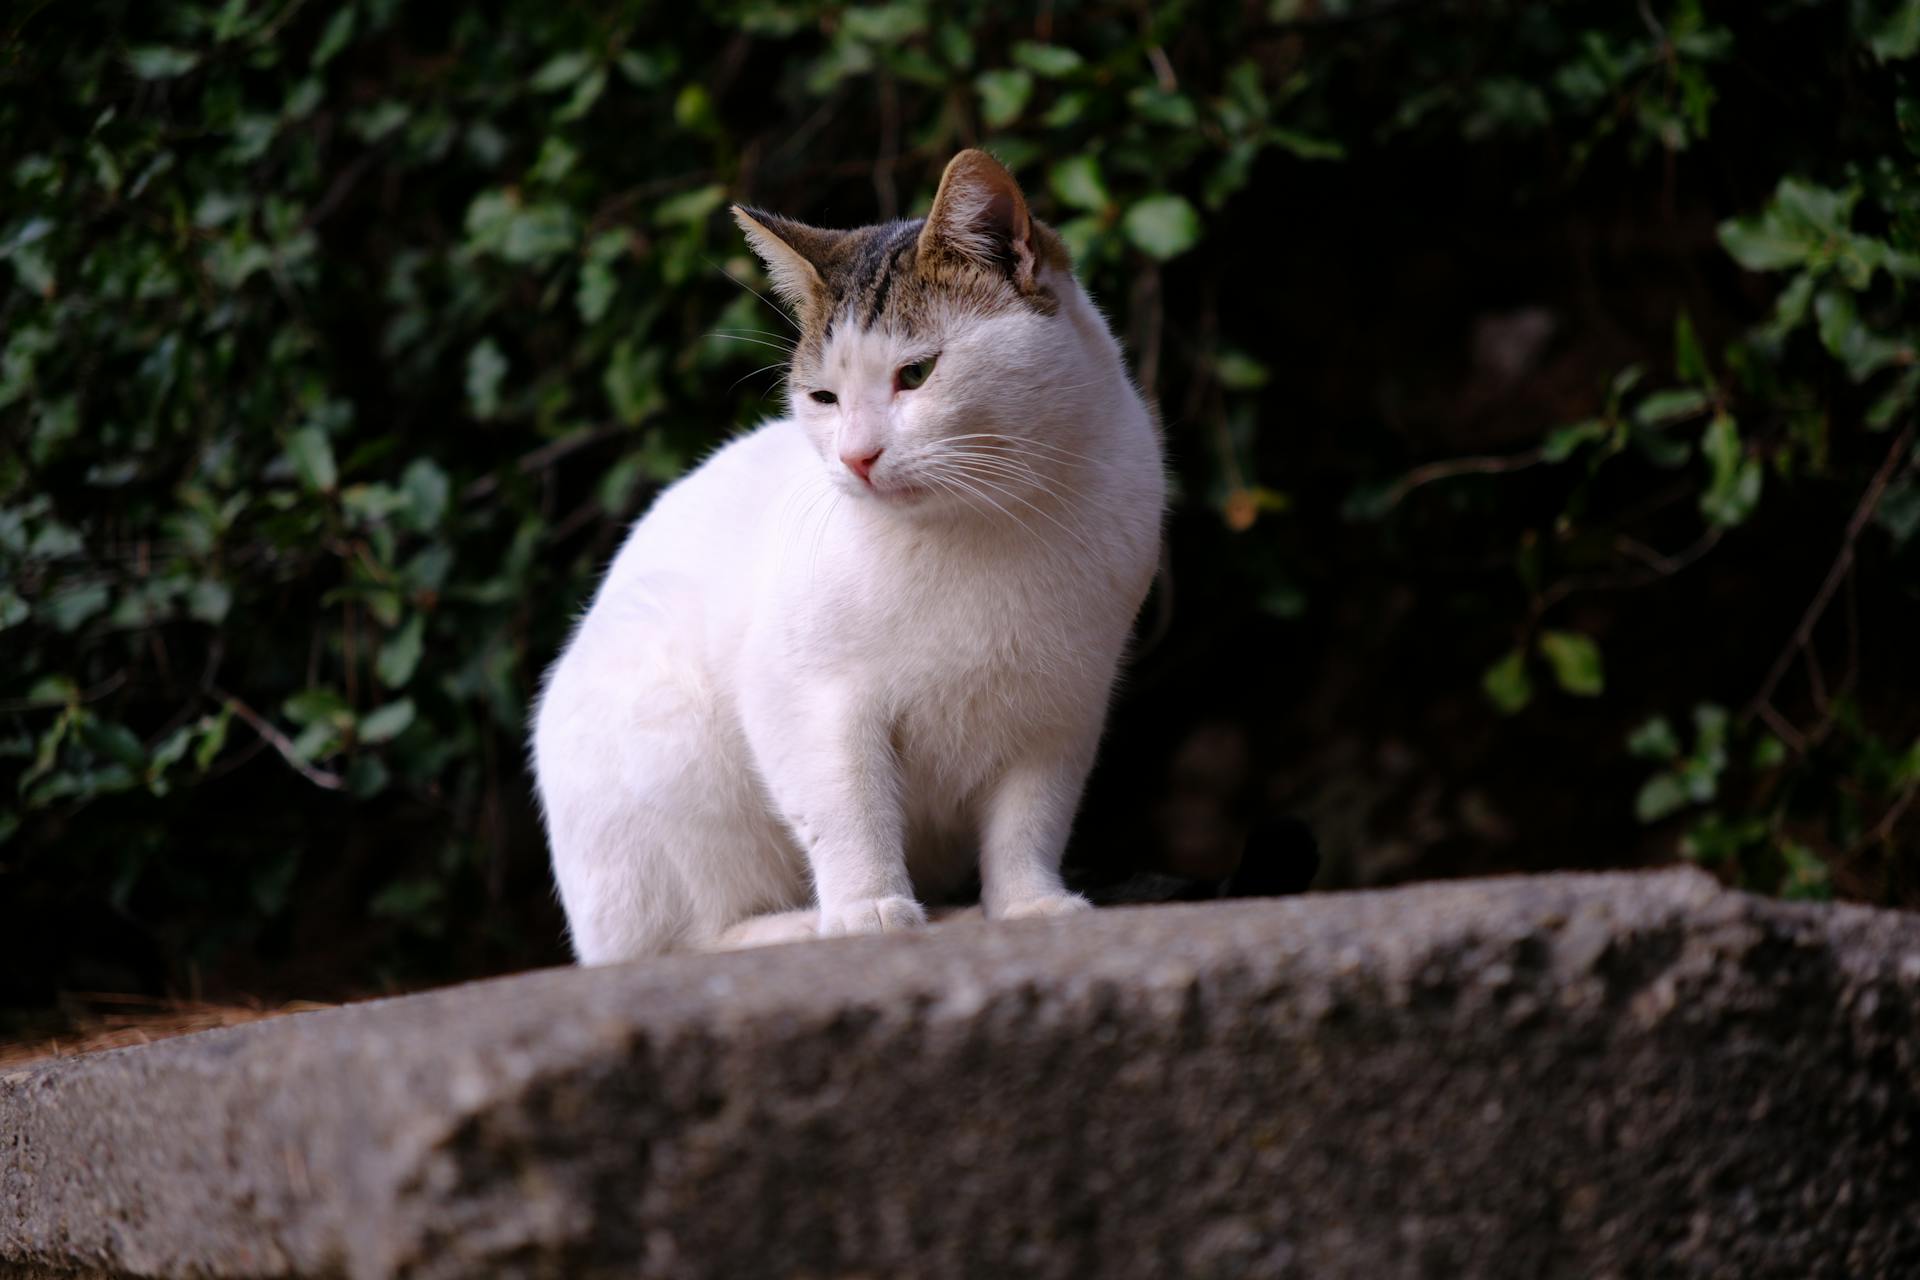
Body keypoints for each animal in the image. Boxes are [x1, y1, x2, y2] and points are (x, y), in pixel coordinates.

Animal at [541, 150, 1167, 959]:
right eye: (824, 398)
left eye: (917, 374)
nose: (857, 457)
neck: (982, 524)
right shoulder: (807, 700)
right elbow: (848, 809)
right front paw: (868, 909)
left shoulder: (1062, 711)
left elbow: (1030, 819)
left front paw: (1027, 904)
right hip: (672, 742)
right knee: (684, 939)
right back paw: (798, 926)